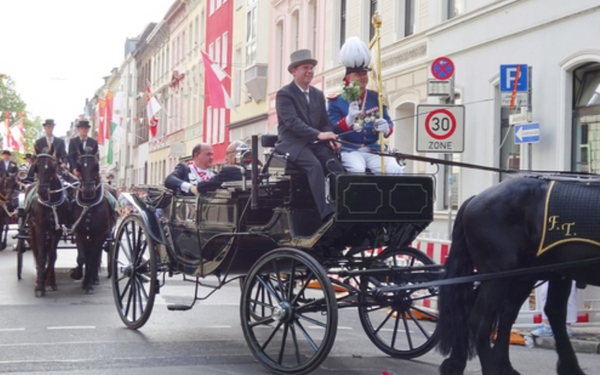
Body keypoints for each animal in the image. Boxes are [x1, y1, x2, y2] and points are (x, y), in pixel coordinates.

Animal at [26, 148, 70, 298]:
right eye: (36, 166)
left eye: (53, 166)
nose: (42, 191)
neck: (51, 203)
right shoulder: (40, 228)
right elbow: (41, 256)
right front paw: (40, 286)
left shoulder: (57, 230)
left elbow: (52, 255)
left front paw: (50, 282)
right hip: (32, 229)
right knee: (36, 250)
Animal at [69, 147, 116, 294]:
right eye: (79, 166)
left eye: (96, 166)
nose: (88, 191)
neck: (89, 205)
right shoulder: (80, 233)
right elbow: (82, 258)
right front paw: (77, 274)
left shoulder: (99, 235)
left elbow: (92, 258)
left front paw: (88, 284)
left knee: (95, 257)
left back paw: (93, 279)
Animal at [436, 178, 600, 375]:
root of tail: (475, 199)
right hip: (498, 275)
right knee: (480, 320)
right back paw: (490, 367)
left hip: (526, 274)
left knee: (509, 313)